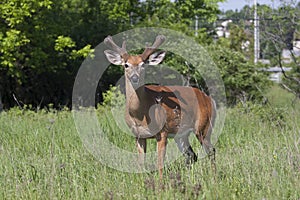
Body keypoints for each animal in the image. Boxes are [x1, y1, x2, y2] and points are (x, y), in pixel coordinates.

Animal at [103, 34, 216, 178]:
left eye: (143, 65)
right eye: (126, 65)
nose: (134, 78)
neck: (139, 114)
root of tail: (208, 99)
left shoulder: (163, 131)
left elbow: (160, 163)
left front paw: (161, 183)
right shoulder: (138, 135)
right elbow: (141, 163)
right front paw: (141, 180)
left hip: (204, 126)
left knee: (211, 150)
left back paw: (214, 177)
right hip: (181, 134)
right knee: (191, 155)